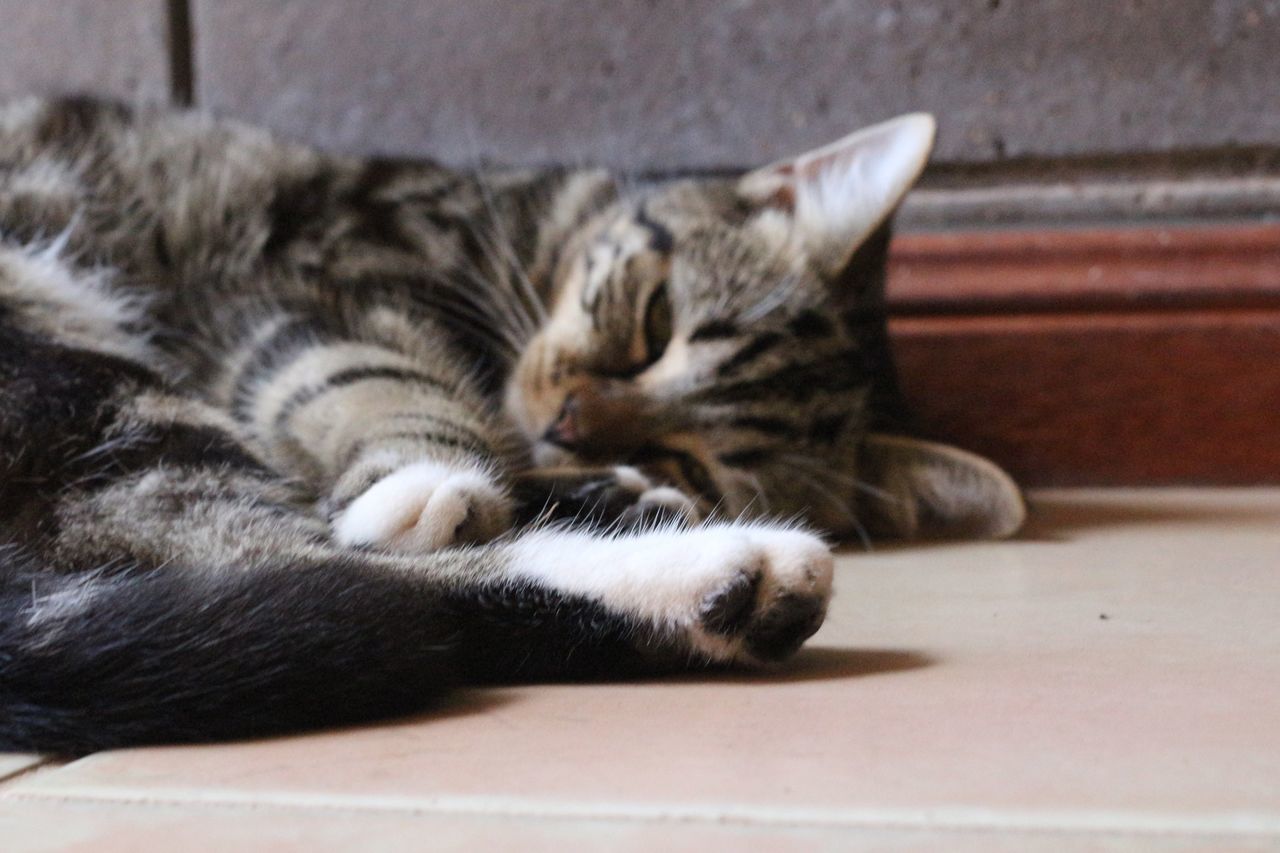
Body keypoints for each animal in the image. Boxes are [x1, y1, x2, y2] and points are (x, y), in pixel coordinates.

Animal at [0, 96, 1018, 753]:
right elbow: (372, 374)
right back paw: (719, 575)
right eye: (654, 324)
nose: (571, 423)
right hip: (84, 361)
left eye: (687, 452)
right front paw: (437, 471)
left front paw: (613, 484)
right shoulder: (291, 289)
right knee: (304, 570)